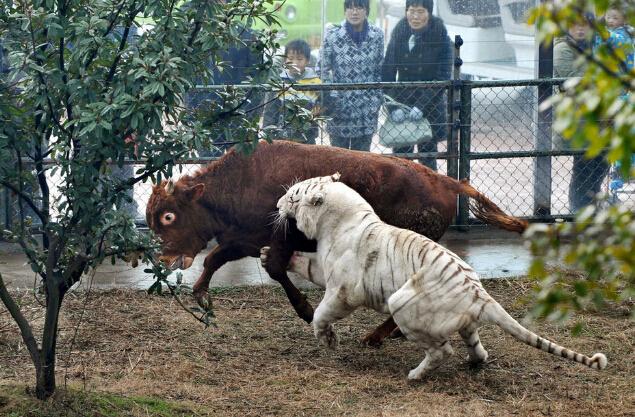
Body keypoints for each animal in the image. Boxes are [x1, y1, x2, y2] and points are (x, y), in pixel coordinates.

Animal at [148, 141, 528, 342]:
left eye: (169, 216)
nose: (163, 261)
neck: (240, 182)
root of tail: (446, 181)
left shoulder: (279, 238)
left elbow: (275, 268)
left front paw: (305, 311)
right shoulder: (243, 239)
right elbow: (215, 259)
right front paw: (202, 296)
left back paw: (379, 336)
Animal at [270, 172, 608, 376]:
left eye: (293, 196)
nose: (277, 202)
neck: (334, 221)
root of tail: (479, 293)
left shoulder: (343, 290)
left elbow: (321, 314)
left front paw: (328, 340)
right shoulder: (325, 269)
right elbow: (308, 267)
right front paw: (271, 255)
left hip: (402, 303)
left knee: (442, 350)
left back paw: (415, 375)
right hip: (465, 322)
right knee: (475, 346)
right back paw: (475, 362)